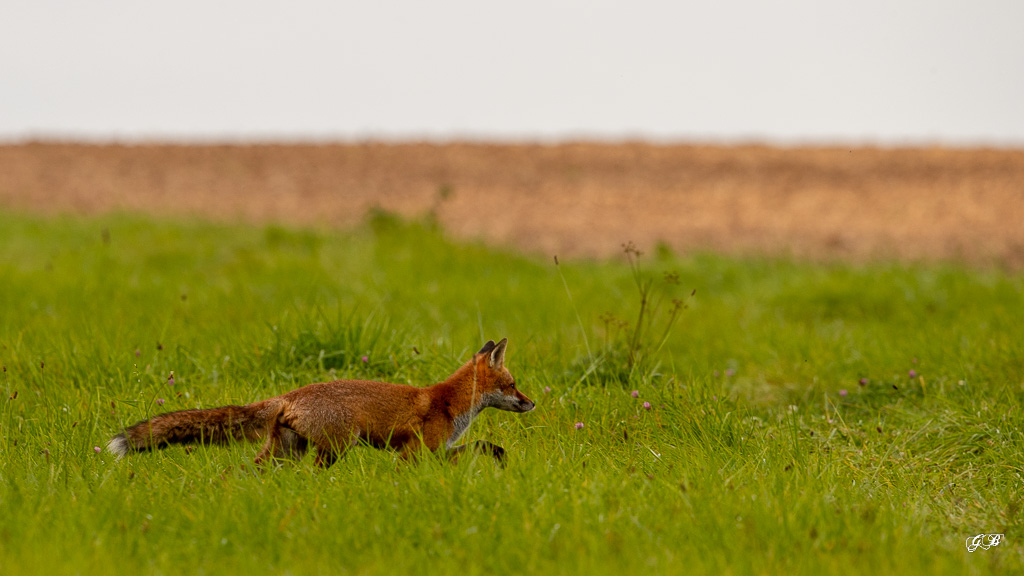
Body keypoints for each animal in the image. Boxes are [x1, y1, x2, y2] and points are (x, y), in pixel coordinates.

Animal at [107, 338, 534, 467]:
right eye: (513, 385)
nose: (531, 403)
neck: (447, 402)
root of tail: (291, 393)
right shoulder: (416, 452)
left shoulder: (439, 450)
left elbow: (484, 446)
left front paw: (501, 459)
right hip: (335, 448)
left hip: (283, 452)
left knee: (244, 472)